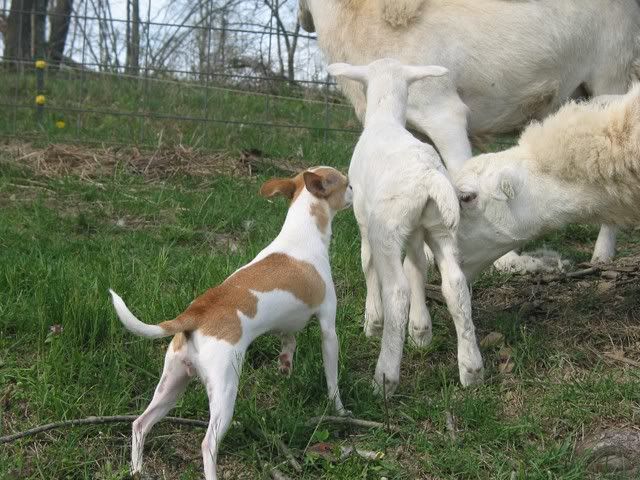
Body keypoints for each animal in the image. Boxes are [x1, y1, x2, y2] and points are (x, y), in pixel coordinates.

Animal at [327, 58, 483, 395]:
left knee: (396, 290)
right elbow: (417, 267)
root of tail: (429, 176)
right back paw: (472, 369)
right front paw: (421, 330)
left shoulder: (363, 218)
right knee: (455, 285)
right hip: (440, 226)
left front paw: (372, 322)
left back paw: (385, 377)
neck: (385, 117)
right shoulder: (415, 230)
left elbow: (366, 262)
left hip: (385, 227)